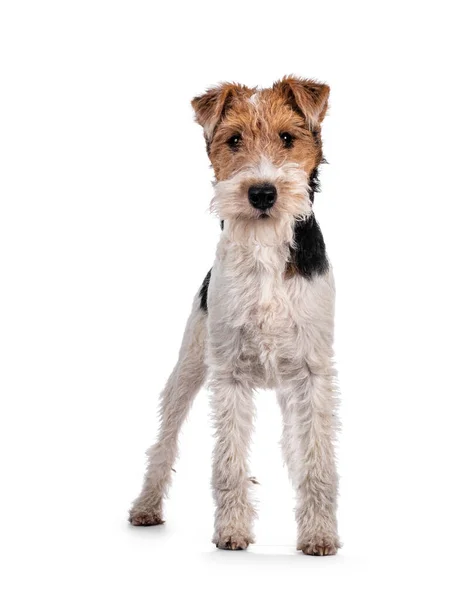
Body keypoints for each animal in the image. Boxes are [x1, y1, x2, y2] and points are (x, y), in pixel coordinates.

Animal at [130, 76, 342, 556]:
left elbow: (317, 461)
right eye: (233, 140)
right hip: (189, 366)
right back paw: (146, 506)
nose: (262, 193)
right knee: (164, 442)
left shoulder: (312, 372)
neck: (265, 246)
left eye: (288, 138)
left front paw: (319, 535)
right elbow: (227, 462)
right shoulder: (228, 373)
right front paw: (232, 531)